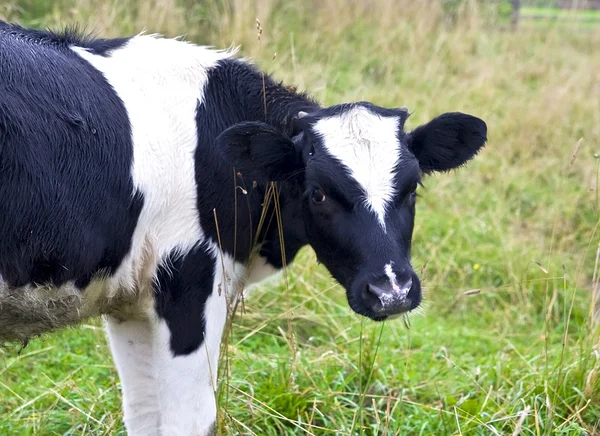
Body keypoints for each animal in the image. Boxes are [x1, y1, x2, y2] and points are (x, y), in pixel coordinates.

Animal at [0, 20, 488, 436]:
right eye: (318, 193)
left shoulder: (131, 301)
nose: (391, 292)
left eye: (412, 187)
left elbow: (144, 414)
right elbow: (191, 418)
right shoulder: (190, 281)